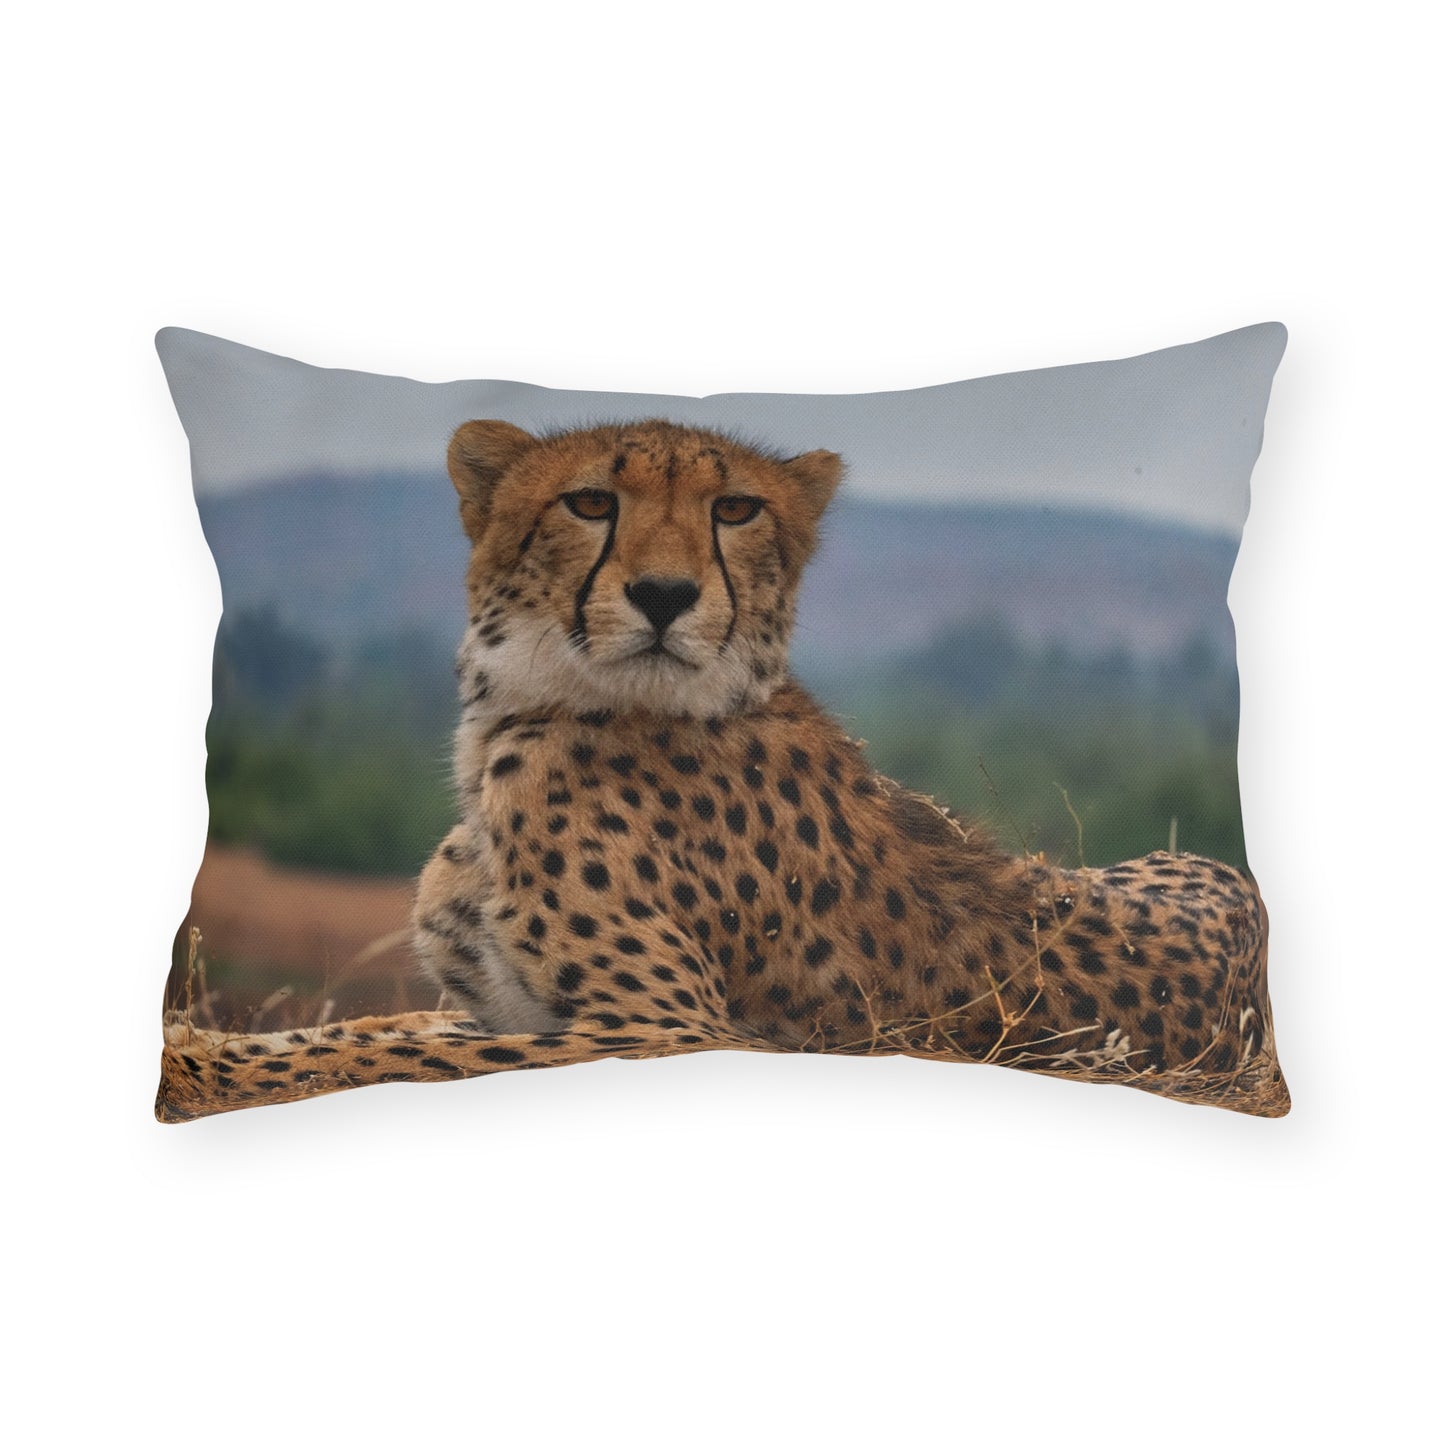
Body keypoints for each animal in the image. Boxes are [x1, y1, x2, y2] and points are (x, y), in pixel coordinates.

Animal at [158, 419, 1288, 1121]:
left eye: (735, 511)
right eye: (588, 501)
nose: (664, 594)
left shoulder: (668, 1028)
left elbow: (393, 1049)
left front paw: (202, 1058)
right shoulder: (495, 1002)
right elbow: (371, 1025)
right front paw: (204, 1047)